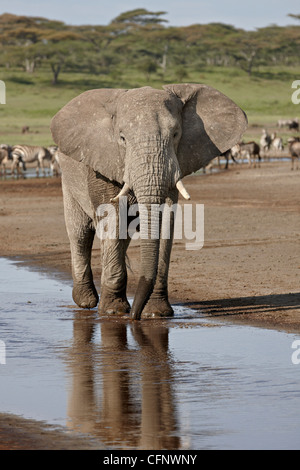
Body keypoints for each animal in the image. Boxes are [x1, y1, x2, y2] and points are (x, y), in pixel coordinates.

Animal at [51, 83, 247, 320]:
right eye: (122, 138)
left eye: (175, 134)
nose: (134, 318)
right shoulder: (103, 164)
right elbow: (112, 219)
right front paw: (114, 311)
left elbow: (165, 223)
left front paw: (156, 314)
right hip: (68, 176)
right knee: (80, 232)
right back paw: (86, 302)